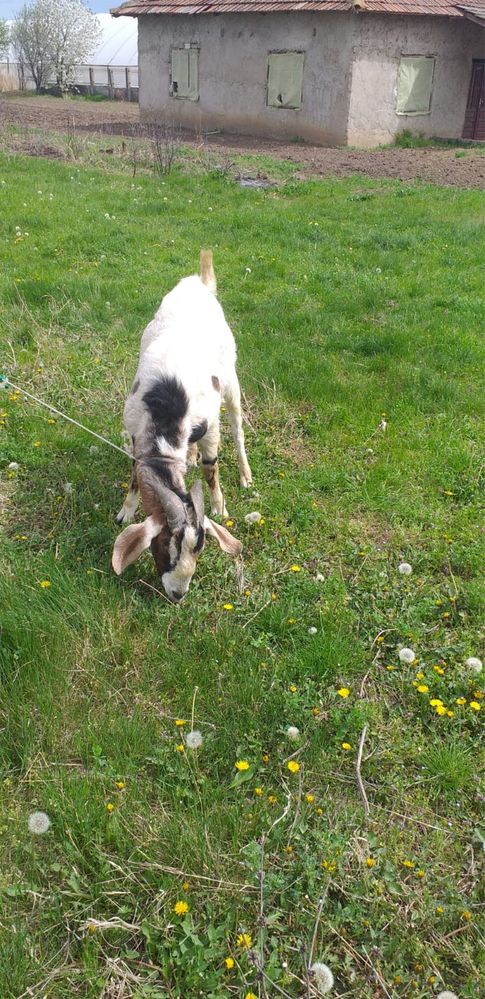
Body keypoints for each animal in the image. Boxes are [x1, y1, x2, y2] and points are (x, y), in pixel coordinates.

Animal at [111, 254, 251, 604]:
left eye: (199, 549)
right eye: (164, 546)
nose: (178, 594)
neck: (168, 407)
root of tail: (198, 283)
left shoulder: (210, 426)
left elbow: (211, 469)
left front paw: (219, 506)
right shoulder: (135, 431)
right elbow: (135, 474)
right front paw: (125, 512)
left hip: (230, 381)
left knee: (238, 427)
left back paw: (245, 475)